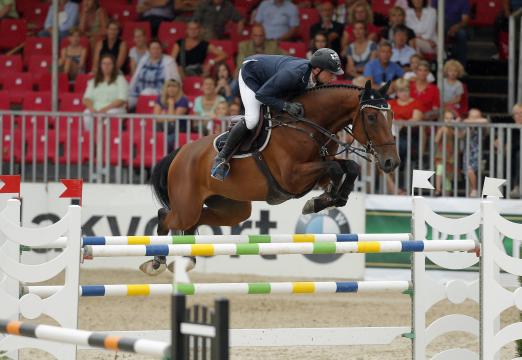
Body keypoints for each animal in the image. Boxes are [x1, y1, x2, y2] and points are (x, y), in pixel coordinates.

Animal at [142, 79, 398, 276]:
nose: (391, 162)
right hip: (187, 206)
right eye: (372, 117)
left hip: (232, 208)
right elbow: (335, 169)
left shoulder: (317, 172)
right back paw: (157, 261)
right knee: (165, 217)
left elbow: (350, 167)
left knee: (196, 221)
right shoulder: (293, 177)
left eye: (391, 116)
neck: (308, 126)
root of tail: (180, 153)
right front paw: (318, 202)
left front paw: (330, 199)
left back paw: (186, 258)